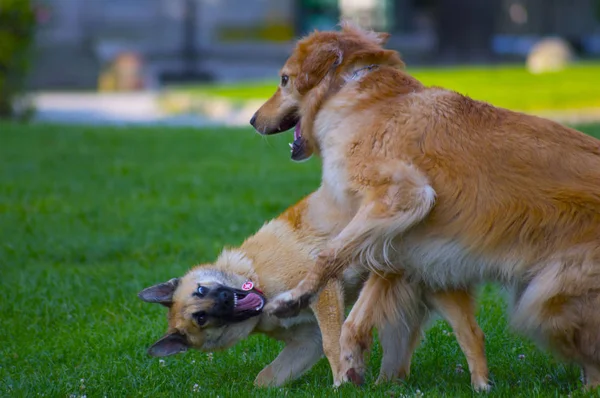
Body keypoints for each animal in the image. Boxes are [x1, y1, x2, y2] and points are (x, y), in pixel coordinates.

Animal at [142, 187, 492, 388]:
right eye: (201, 319)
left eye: (201, 291)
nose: (227, 298)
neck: (256, 273)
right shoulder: (304, 341)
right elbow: (265, 379)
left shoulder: (325, 294)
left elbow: (333, 344)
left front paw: (342, 383)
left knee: (470, 335)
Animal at [251, 21, 600, 388]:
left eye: (284, 79)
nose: (252, 120)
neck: (352, 91)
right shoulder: (398, 243)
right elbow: (357, 315)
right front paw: (353, 364)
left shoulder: (404, 195)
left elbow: (328, 255)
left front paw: (295, 299)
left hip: (545, 301)